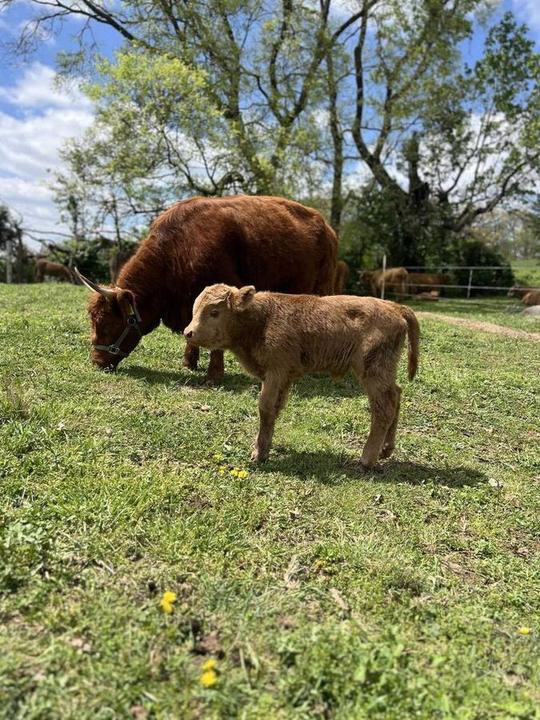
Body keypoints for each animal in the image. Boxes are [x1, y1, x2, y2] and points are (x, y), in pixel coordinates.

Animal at [75, 195, 338, 382]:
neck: (177, 252)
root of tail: (326, 226)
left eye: (109, 323)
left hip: (320, 288)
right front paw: (189, 363)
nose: (97, 361)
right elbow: (191, 331)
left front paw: (214, 374)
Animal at [184, 284, 420, 468]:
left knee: (383, 408)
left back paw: (366, 460)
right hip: (385, 373)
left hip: (373, 373)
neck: (261, 319)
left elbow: (265, 407)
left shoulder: (275, 373)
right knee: (396, 395)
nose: (188, 332)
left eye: (215, 312)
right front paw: (264, 447)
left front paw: (258, 455)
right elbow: (275, 409)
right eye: (195, 308)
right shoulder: (283, 378)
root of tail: (393, 306)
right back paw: (385, 450)